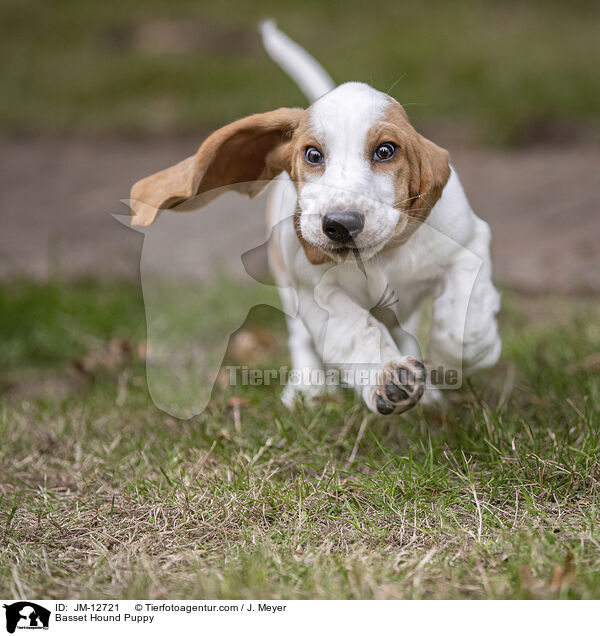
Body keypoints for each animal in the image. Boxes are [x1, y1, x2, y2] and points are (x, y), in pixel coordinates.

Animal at [131, 22, 502, 414]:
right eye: (312, 155)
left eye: (386, 151)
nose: (340, 224)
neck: (378, 258)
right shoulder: (318, 295)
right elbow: (356, 331)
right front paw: (388, 378)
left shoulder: (468, 246)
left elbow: (465, 323)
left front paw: (448, 363)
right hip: (289, 290)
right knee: (301, 339)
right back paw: (307, 389)